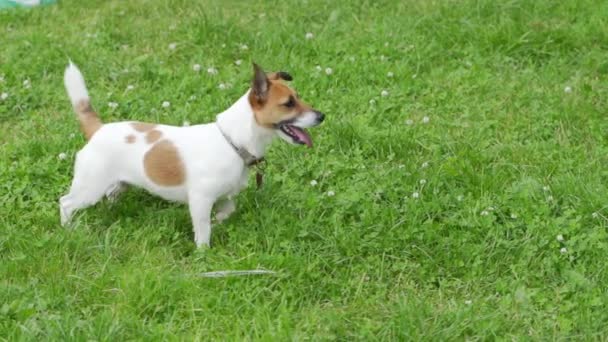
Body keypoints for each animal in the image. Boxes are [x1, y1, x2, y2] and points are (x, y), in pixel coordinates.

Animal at [61, 61, 326, 247]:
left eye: (298, 98)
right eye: (289, 103)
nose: (322, 116)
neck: (232, 141)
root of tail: (98, 129)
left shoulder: (226, 196)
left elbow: (226, 212)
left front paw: (218, 222)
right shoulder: (200, 200)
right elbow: (203, 230)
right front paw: (203, 252)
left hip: (117, 183)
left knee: (111, 195)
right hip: (89, 187)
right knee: (66, 203)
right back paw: (68, 228)